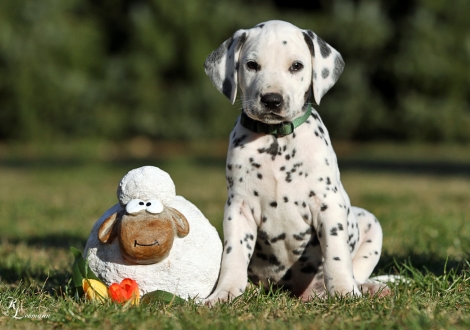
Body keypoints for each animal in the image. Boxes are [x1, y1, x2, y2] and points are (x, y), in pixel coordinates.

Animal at [204, 20, 388, 304]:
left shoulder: (328, 203)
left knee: (358, 270)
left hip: (370, 223)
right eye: (251, 65)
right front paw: (224, 294)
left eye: (296, 66)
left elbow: (336, 254)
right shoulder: (239, 207)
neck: (276, 139)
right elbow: (233, 256)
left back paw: (368, 288)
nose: (272, 100)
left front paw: (344, 292)